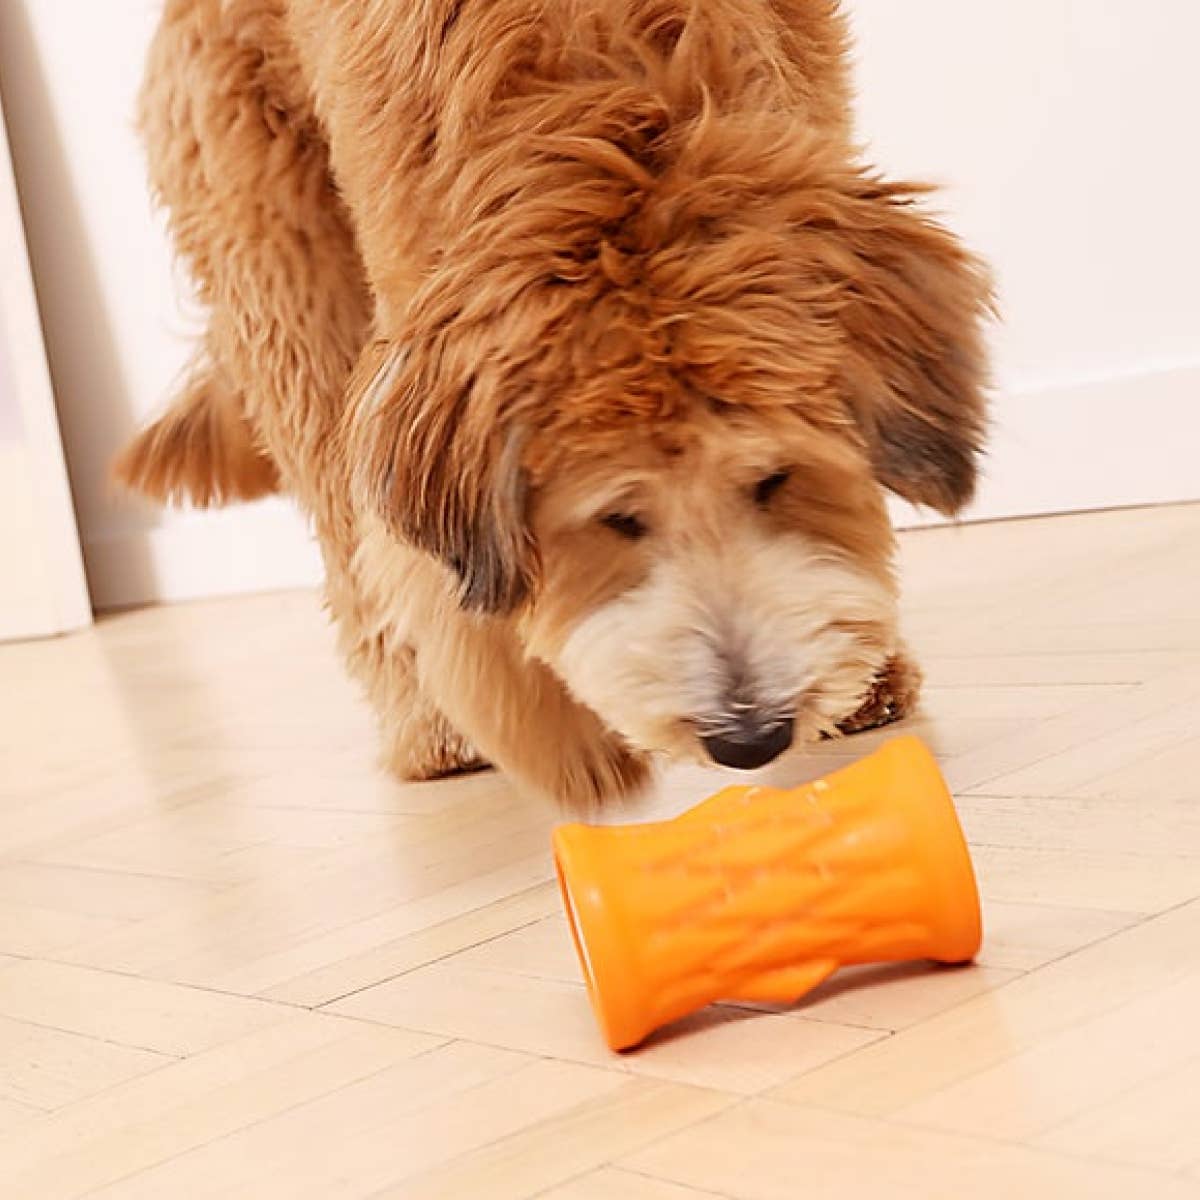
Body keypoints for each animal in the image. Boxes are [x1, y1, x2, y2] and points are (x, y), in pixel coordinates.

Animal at [117, 2, 988, 806]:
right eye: (618, 520)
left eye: (774, 481)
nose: (749, 736)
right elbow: (434, 585)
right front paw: (562, 745)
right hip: (284, 272)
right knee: (346, 529)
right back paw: (432, 731)